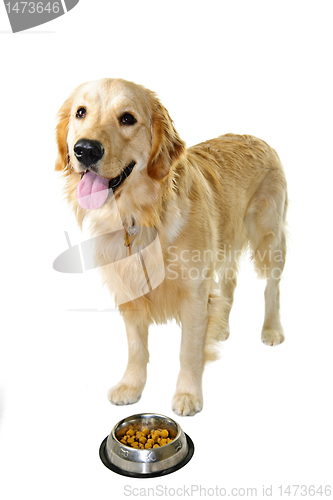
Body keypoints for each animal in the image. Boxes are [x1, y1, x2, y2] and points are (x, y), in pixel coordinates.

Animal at [55, 78, 286, 414]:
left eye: (127, 118)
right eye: (80, 112)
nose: (84, 149)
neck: (138, 216)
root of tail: (258, 138)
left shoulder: (194, 291)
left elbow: (189, 349)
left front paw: (188, 394)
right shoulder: (130, 291)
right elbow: (136, 348)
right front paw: (131, 386)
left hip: (269, 236)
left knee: (272, 287)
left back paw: (271, 329)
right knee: (229, 281)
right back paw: (220, 327)